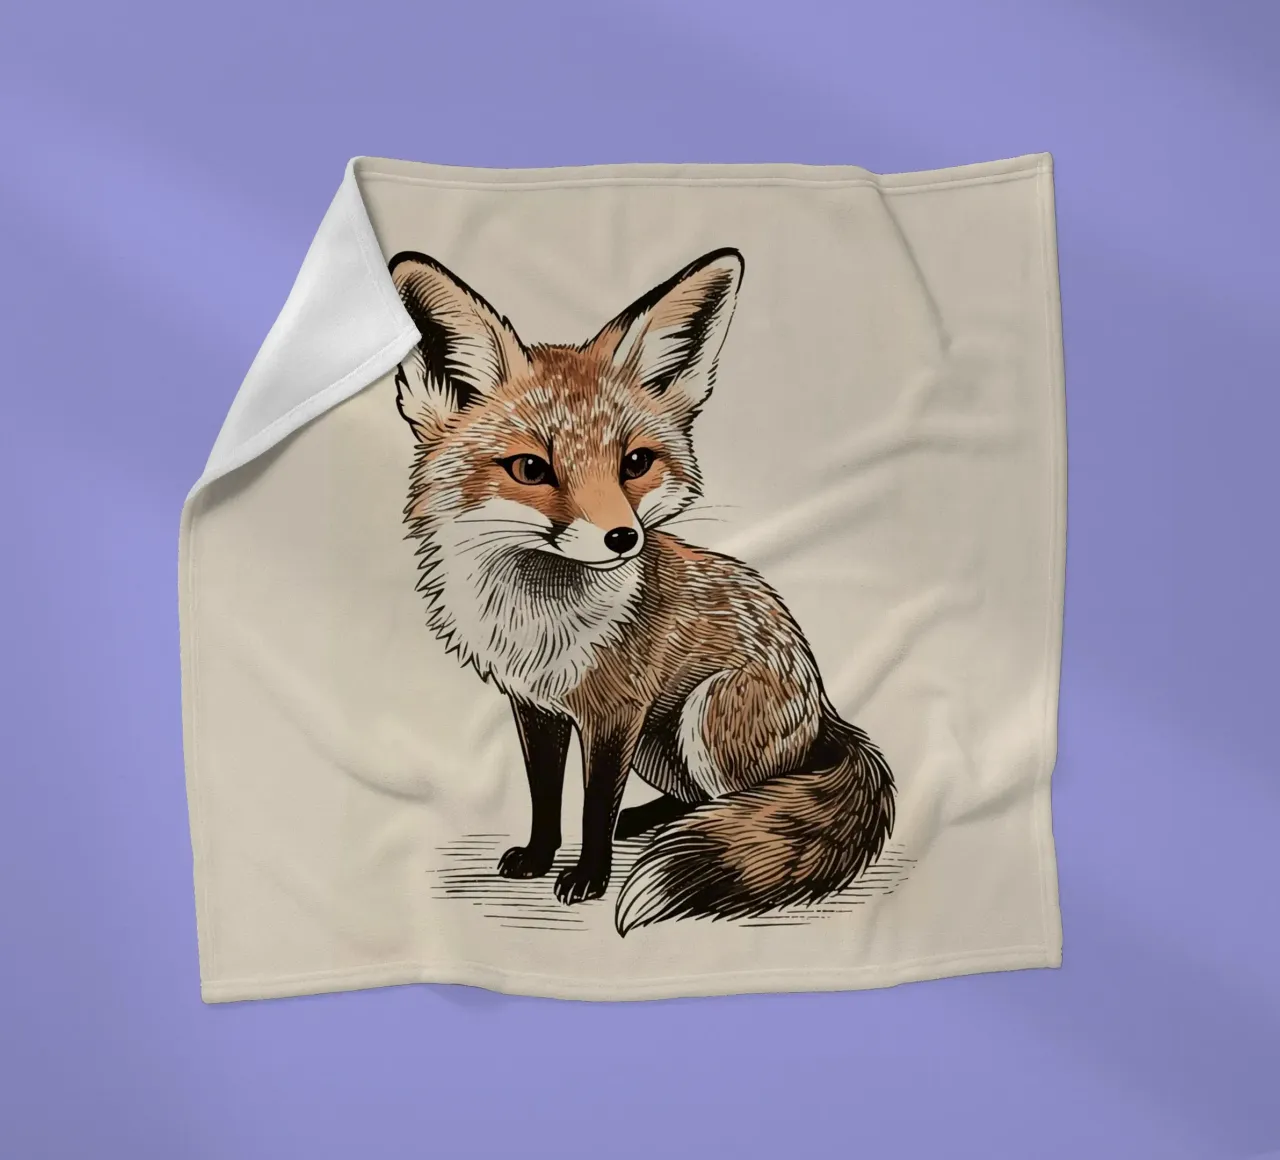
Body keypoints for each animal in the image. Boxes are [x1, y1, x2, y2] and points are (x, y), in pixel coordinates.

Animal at [389, 245, 895, 935]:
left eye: (635, 463)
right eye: (531, 468)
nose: (623, 538)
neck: (539, 621)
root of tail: (825, 709)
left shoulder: (616, 712)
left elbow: (594, 806)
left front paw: (589, 877)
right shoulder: (537, 708)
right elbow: (545, 795)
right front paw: (540, 857)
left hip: (700, 717)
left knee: (750, 801)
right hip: (663, 743)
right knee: (701, 798)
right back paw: (657, 820)